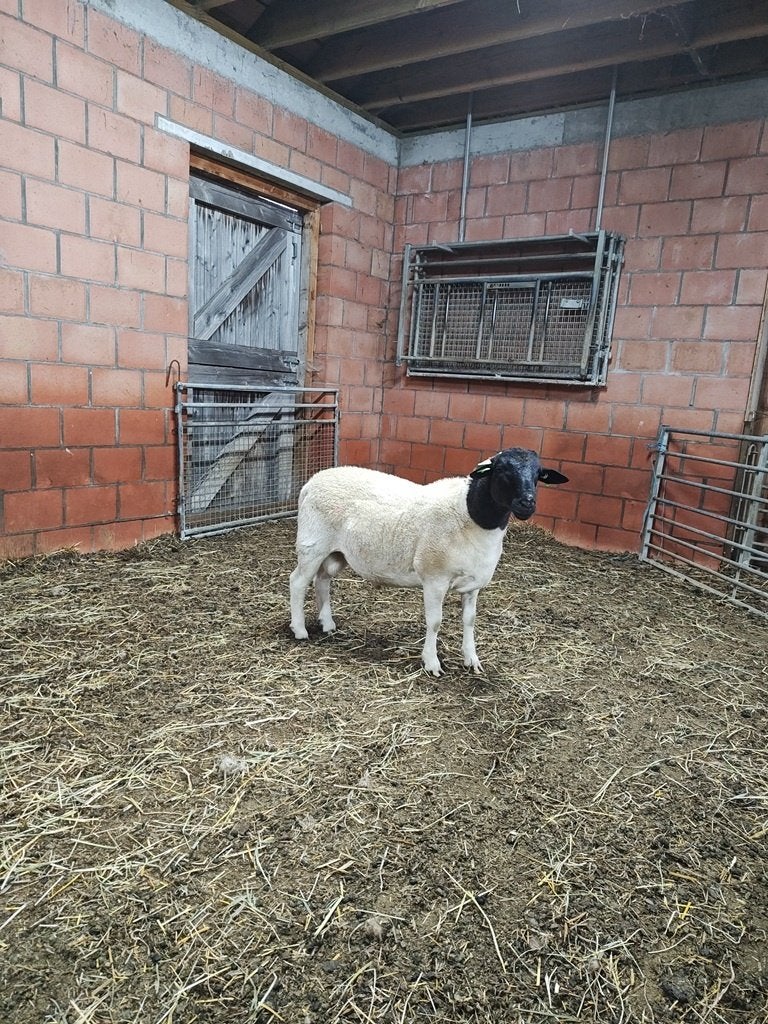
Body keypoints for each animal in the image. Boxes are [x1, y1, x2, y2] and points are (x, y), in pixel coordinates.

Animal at [289, 448, 568, 676]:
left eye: (539, 474)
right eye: (501, 470)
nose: (527, 503)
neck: (471, 514)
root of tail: (311, 482)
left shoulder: (473, 585)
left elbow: (469, 620)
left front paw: (472, 660)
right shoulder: (435, 579)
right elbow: (435, 622)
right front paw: (432, 663)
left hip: (336, 553)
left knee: (322, 579)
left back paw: (327, 624)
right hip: (312, 544)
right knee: (298, 581)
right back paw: (300, 629)